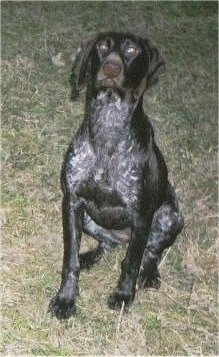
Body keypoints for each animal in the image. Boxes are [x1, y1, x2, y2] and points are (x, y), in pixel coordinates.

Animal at [48, 32, 184, 318]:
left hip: (170, 216)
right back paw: (90, 257)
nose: (111, 68)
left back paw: (150, 274)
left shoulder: (142, 216)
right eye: (103, 46)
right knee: (106, 245)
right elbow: (70, 260)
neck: (108, 124)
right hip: (89, 219)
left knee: (151, 253)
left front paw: (123, 295)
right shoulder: (72, 203)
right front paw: (66, 298)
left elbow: (132, 263)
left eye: (131, 50)